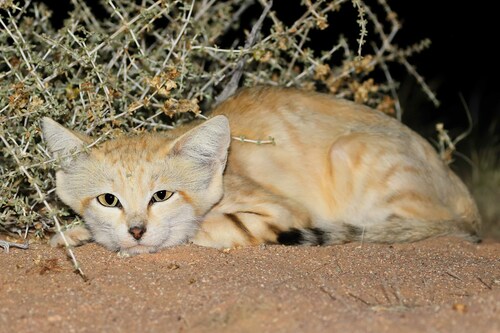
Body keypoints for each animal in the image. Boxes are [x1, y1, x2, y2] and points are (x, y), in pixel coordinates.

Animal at [43, 85, 480, 254]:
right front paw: (77, 233)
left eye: (161, 195)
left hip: (351, 153)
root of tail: (467, 203)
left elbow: (203, 227)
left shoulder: (283, 211)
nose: (136, 231)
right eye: (108, 200)